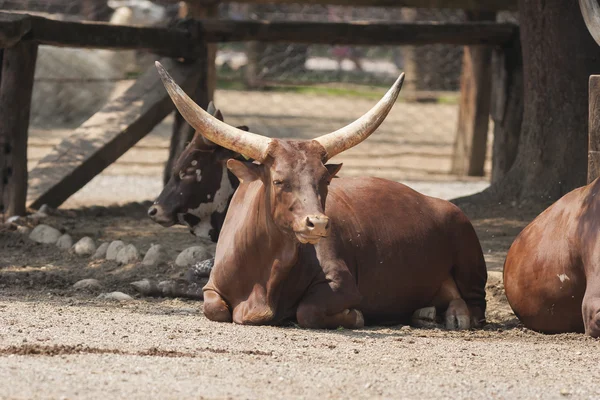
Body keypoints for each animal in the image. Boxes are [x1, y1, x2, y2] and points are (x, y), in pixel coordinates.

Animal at [150, 62, 488, 330]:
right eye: (278, 180)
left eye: (324, 180)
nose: (319, 224)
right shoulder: (212, 287)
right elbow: (214, 309)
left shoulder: (343, 284)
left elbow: (308, 311)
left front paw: (355, 316)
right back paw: (425, 312)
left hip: (468, 248)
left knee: (475, 304)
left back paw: (456, 316)